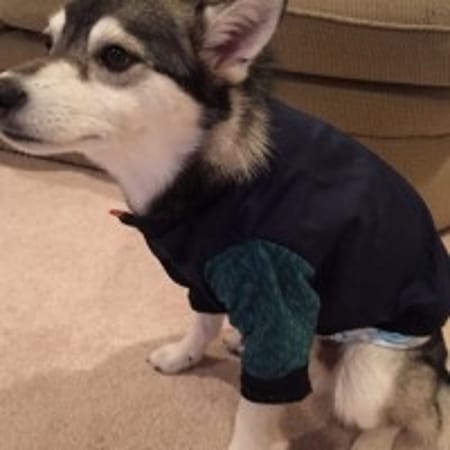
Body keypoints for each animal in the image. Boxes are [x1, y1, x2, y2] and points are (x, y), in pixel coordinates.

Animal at [0, 0, 449, 448]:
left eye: (115, 56)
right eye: (47, 42)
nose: (2, 89)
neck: (193, 173)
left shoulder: (274, 290)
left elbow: (257, 407)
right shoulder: (205, 276)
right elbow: (203, 322)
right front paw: (183, 356)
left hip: (370, 373)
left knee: (401, 417)